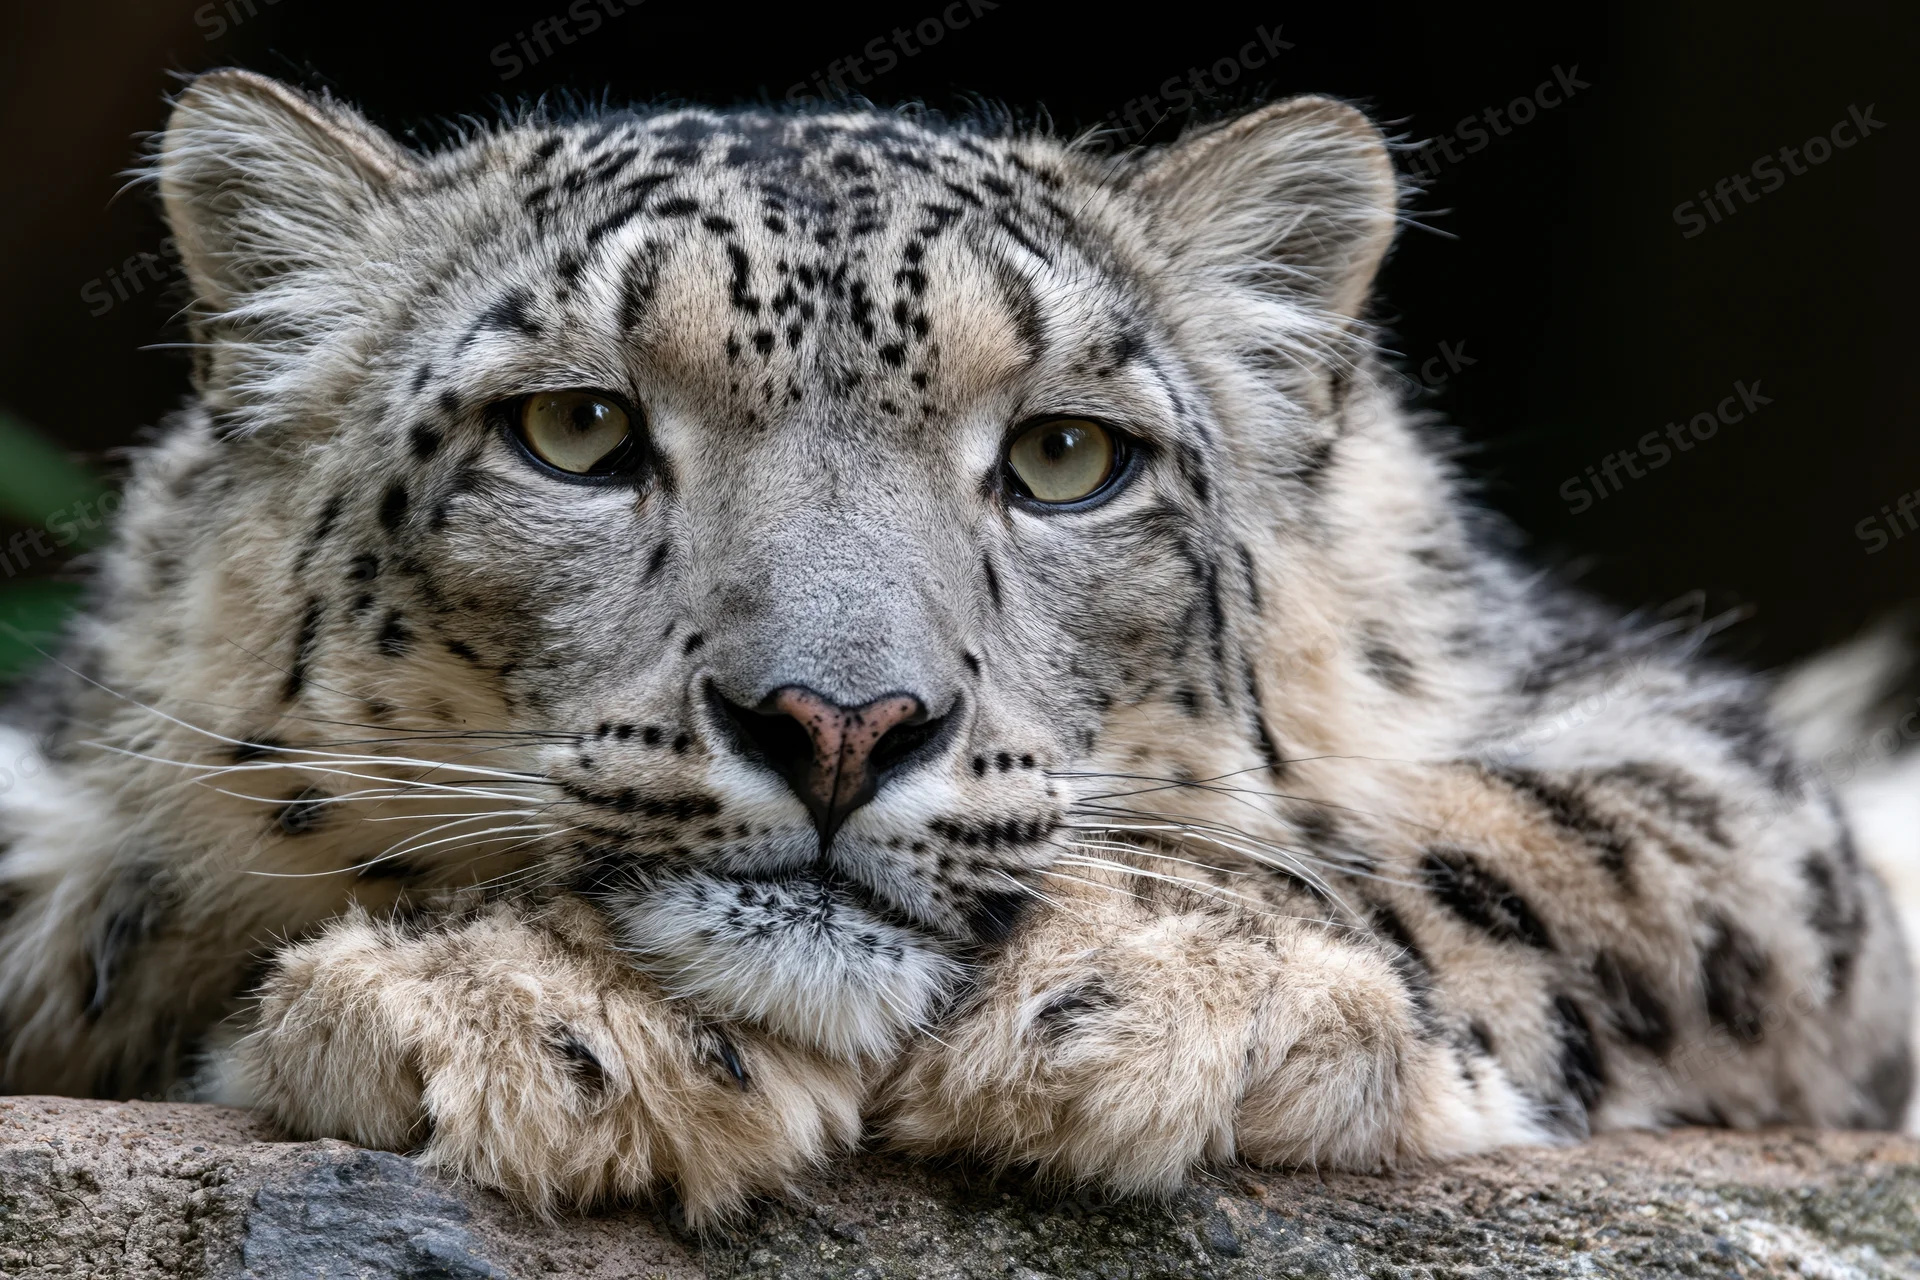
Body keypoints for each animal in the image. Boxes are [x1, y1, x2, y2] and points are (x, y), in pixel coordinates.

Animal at [0, 68, 1910, 1225]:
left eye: (1068, 455)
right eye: (574, 431)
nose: (840, 721)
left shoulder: (1716, 769)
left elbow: (1511, 845)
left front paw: (1143, 985)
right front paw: (544, 1014)